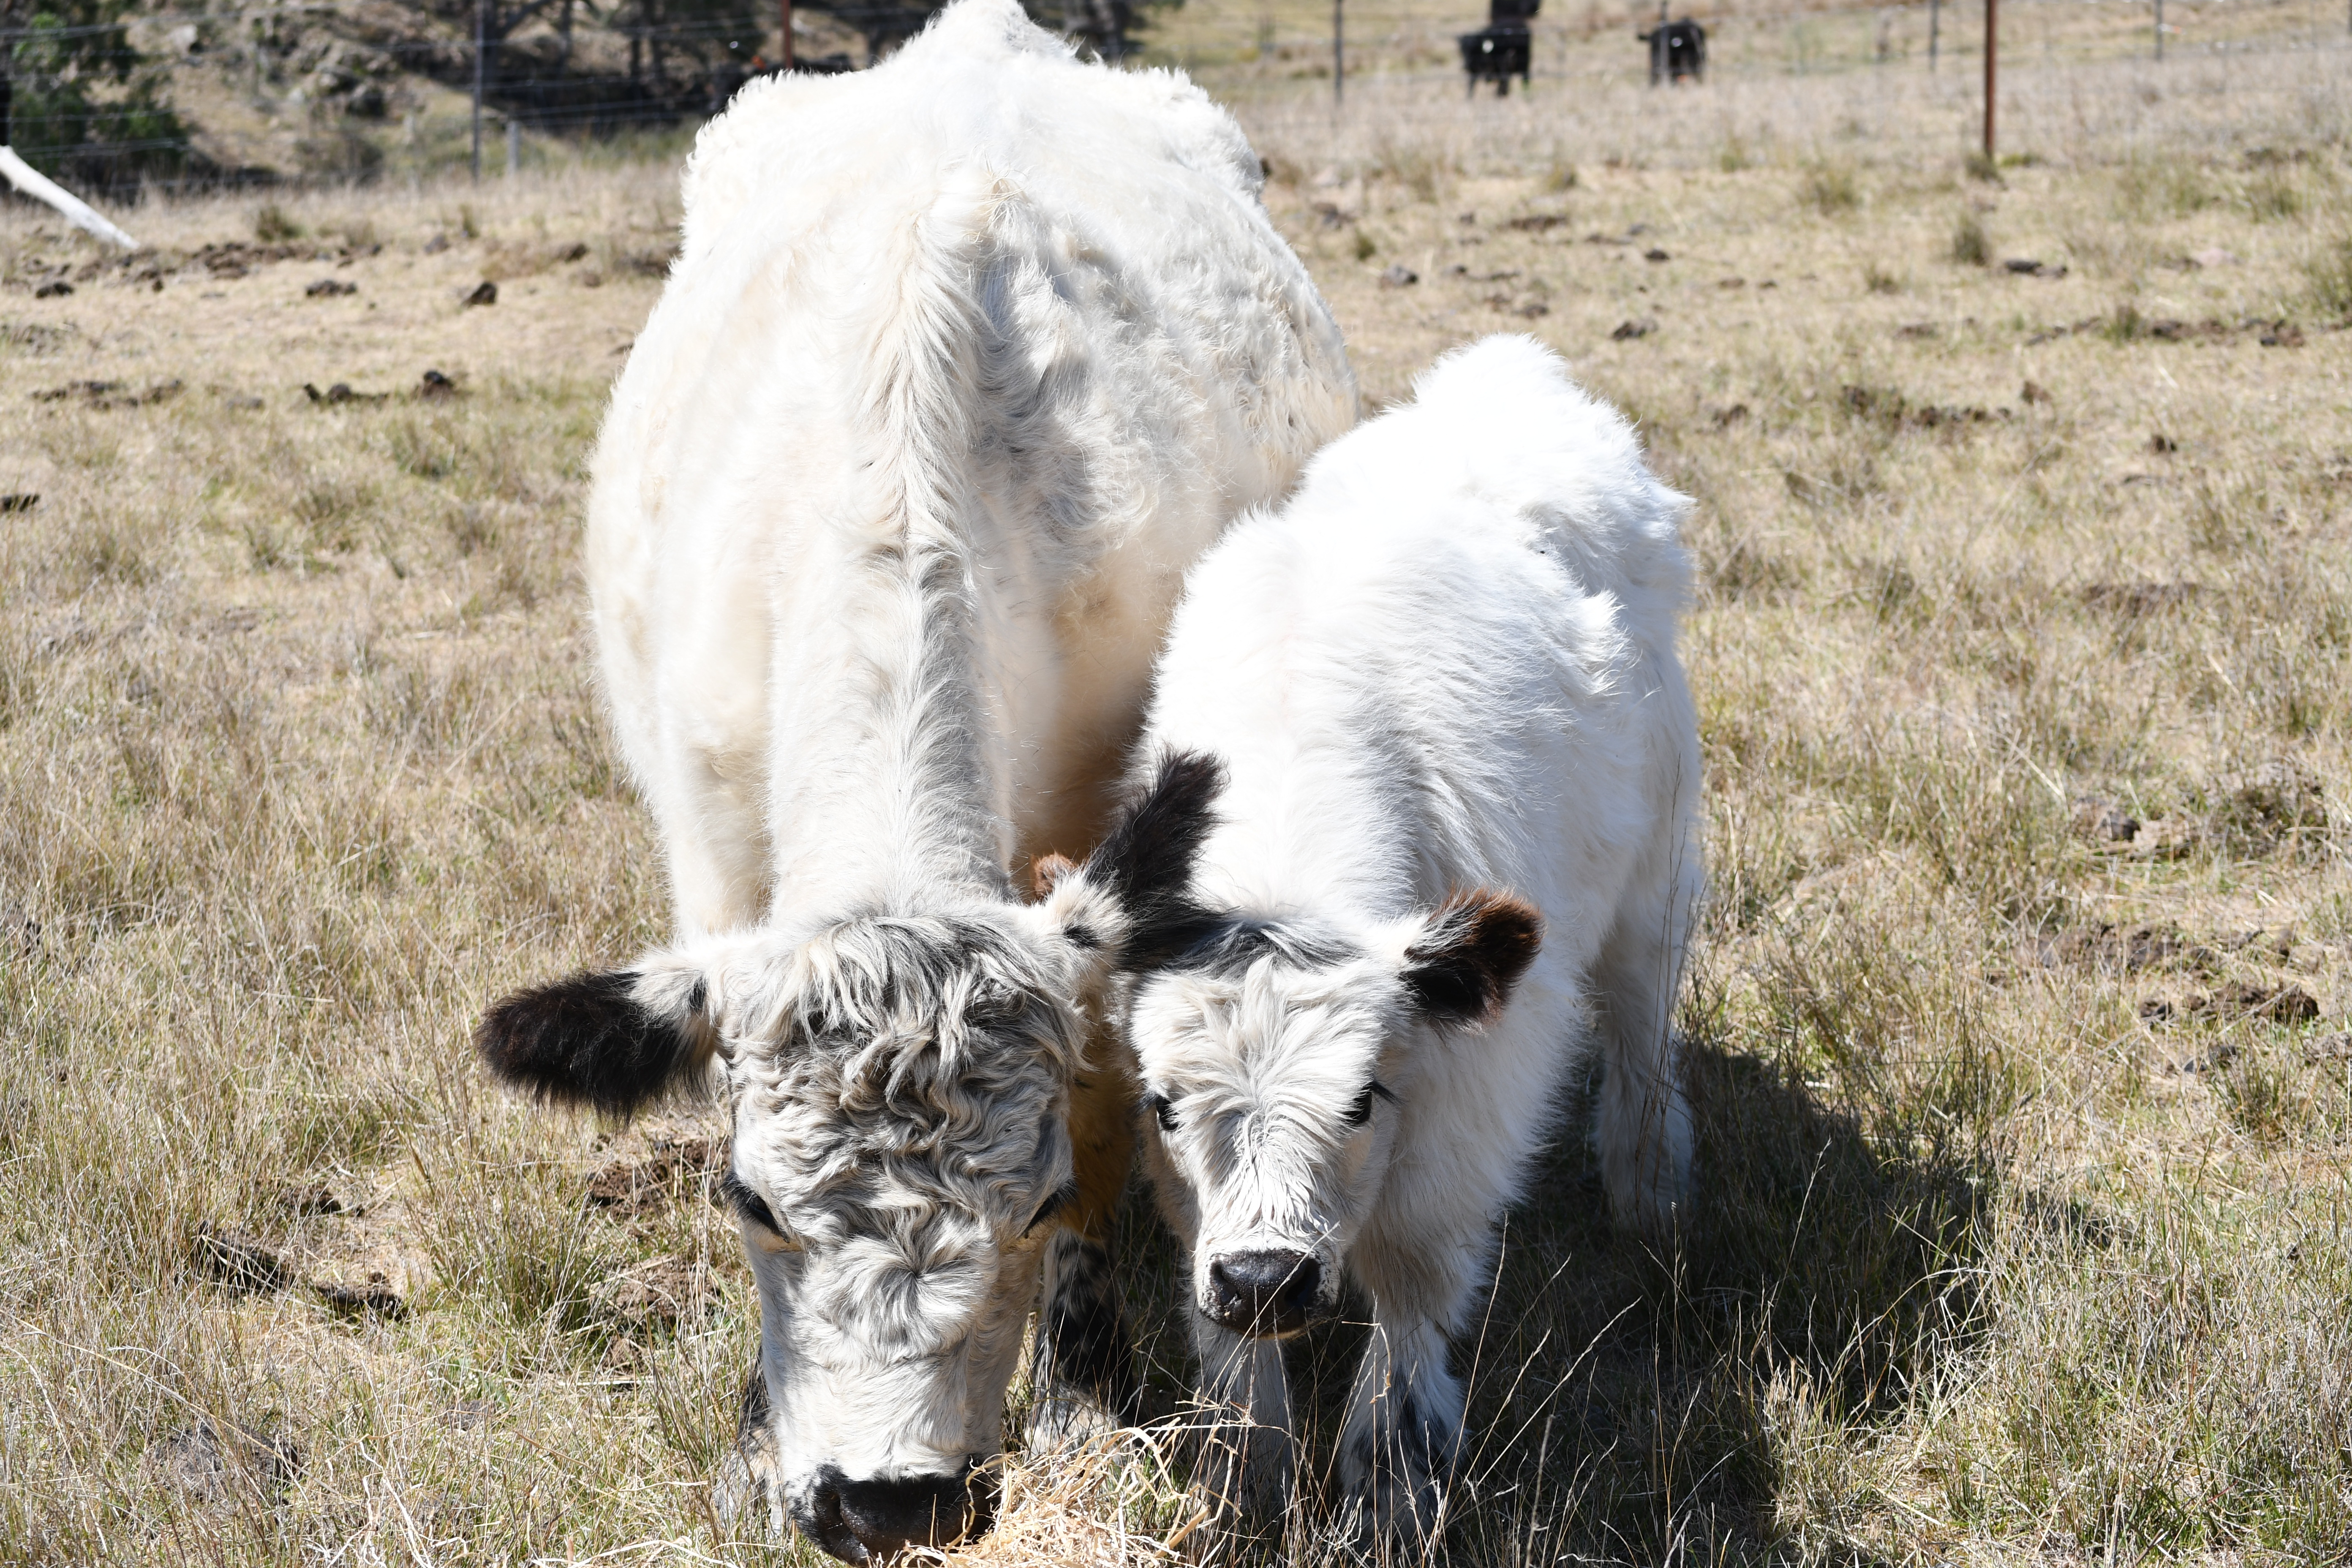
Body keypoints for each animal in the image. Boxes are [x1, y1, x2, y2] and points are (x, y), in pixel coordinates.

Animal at [1092, 335, 1701, 1543]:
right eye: (1164, 1104)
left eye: (1364, 1097)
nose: (1267, 1278)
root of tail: (1512, 376)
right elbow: (1227, 1345)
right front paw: (1243, 1478)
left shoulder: (1469, 1101)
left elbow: (1414, 1286)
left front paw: (1386, 1494)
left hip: (1658, 878)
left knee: (1642, 1033)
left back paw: (1649, 1196)